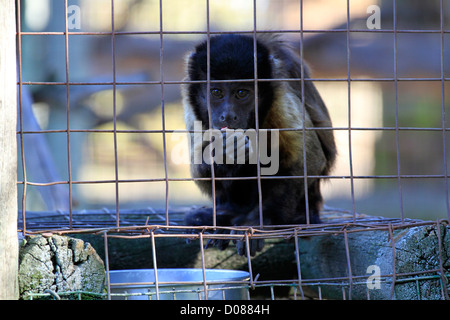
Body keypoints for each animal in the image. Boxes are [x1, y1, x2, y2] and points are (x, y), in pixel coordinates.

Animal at [181, 34, 336, 255]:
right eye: (217, 92)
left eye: (241, 93)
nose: (227, 115)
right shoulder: (190, 100)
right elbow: (197, 167)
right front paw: (222, 153)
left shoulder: (279, 94)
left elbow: (308, 160)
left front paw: (259, 223)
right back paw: (224, 216)